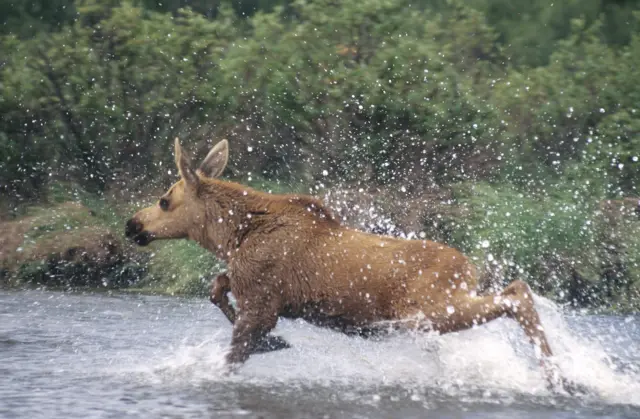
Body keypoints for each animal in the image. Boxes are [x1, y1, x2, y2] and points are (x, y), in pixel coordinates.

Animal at [127, 138, 568, 390]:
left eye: (165, 200)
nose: (132, 224)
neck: (231, 236)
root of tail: (470, 266)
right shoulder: (251, 286)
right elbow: (217, 287)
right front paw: (275, 343)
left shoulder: (262, 301)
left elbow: (233, 351)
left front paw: (269, 345)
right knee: (515, 292)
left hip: (431, 309)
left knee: (517, 292)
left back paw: (557, 376)